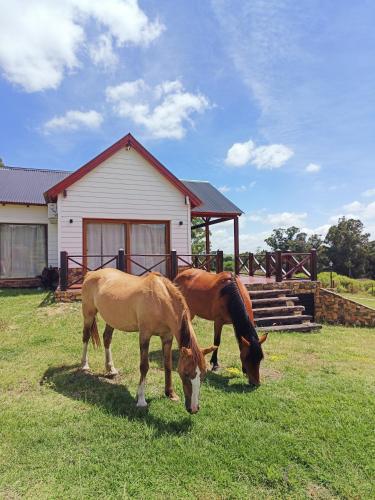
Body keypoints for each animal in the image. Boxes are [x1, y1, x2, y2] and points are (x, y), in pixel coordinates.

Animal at [82, 270, 217, 414]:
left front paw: (170, 393)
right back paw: (84, 365)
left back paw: (111, 369)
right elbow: (144, 366)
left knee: (107, 339)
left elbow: (168, 364)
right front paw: (141, 399)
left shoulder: (167, 337)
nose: (194, 409)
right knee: (85, 337)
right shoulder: (145, 335)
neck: (160, 301)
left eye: (203, 374)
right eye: (186, 374)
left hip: (111, 319)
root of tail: (91, 273)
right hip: (88, 313)